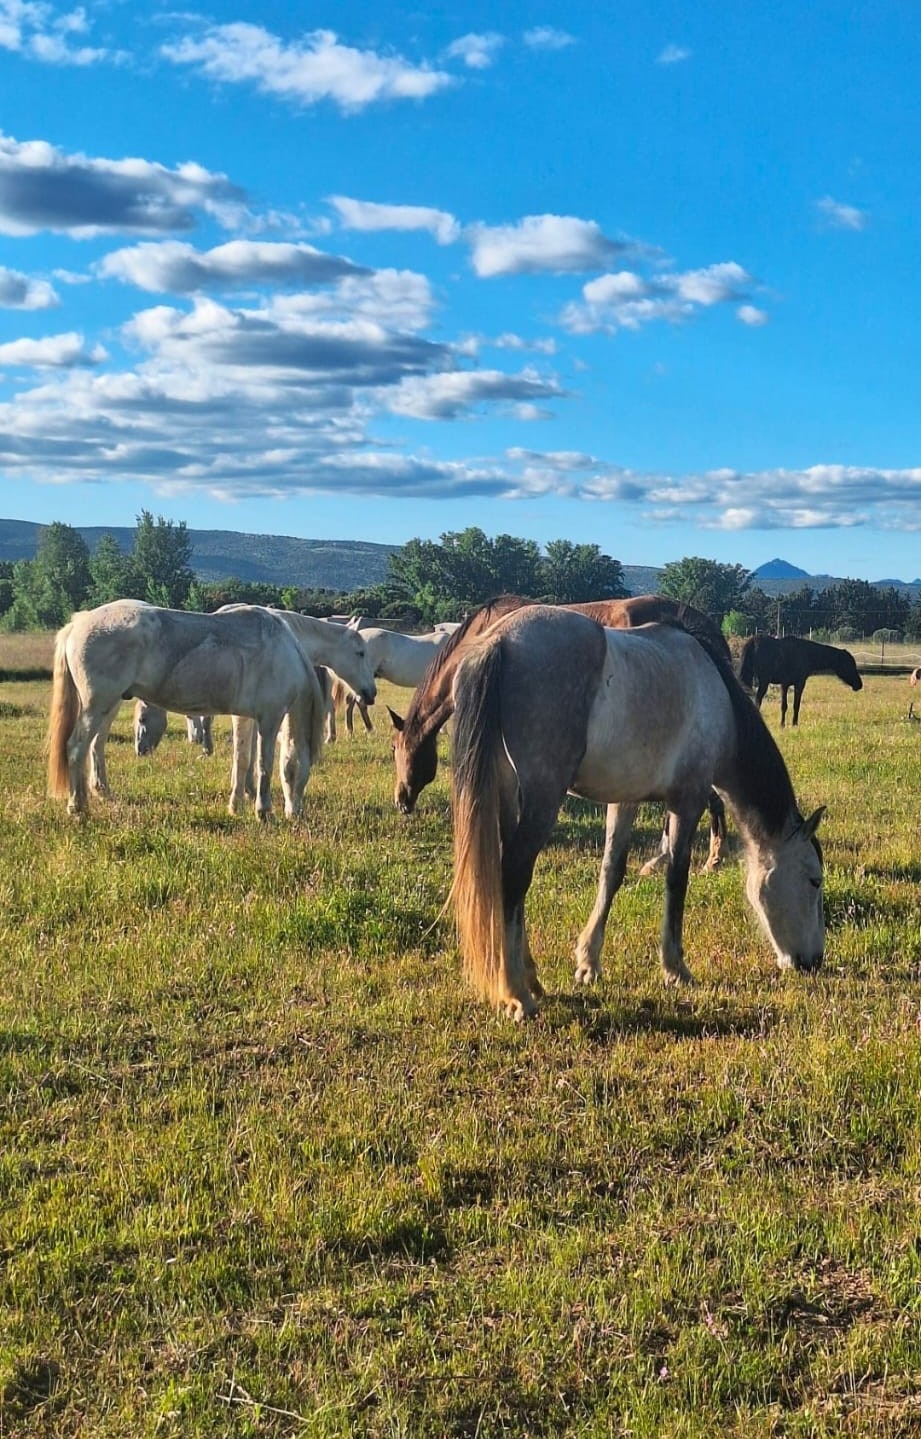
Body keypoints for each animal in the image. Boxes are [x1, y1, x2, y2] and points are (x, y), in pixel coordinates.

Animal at [47, 599, 328, 819]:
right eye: (299, 772)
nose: (296, 814)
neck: (284, 652)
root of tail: (78, 623)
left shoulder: (245, 718)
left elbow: (242, 759)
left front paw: (236, 806)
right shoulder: (270, 718)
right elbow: (264, 764)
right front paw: (264, 811)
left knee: (91, 748)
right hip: (98, 706)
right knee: (76, 748)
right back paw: (78, 808)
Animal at [447, 606, 826, 1019]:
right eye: (813, 881)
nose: (813, 961)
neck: (717, 696)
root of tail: (500, 641)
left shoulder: (623, 800)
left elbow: (611, 873)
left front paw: (589, 962)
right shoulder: (688, 801)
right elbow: (677, 878)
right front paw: (675, 968)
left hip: (506, 798)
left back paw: (530, 979)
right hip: (542, 799)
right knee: (513, 878)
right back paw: (517, 993)